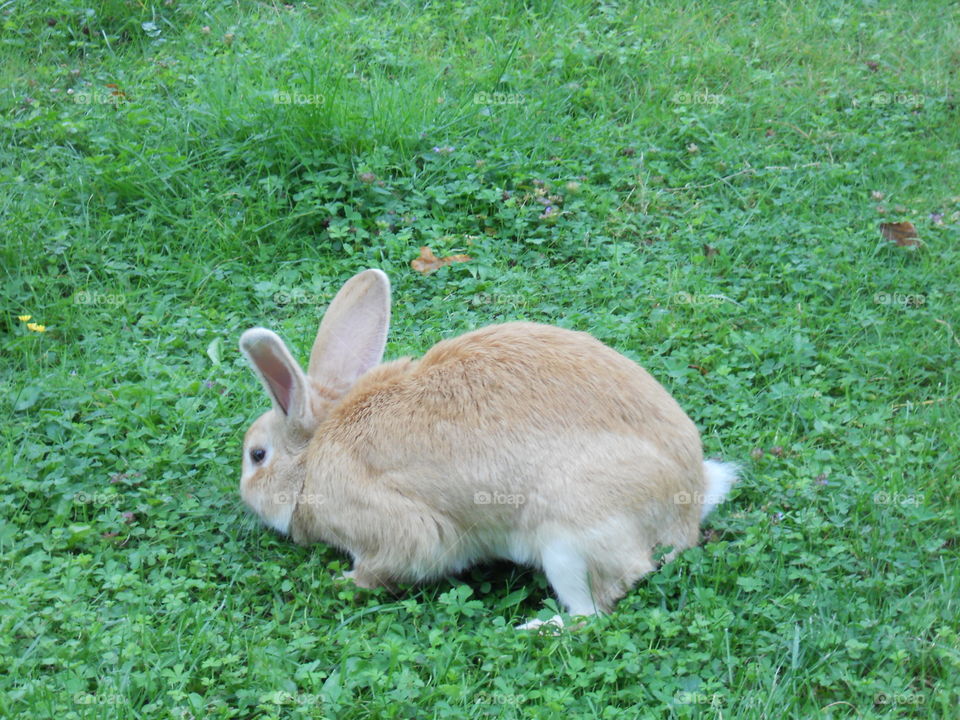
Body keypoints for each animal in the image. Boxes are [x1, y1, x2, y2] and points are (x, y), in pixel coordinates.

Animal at [238, 268, 737, 629]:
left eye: (257, 456)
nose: (244, 497)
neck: (313, 457)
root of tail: (683, 513)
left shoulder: (397, 532)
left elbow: (382, 569)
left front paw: (340, 581)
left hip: (567, 540)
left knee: (592, 612)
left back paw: (537, 628)